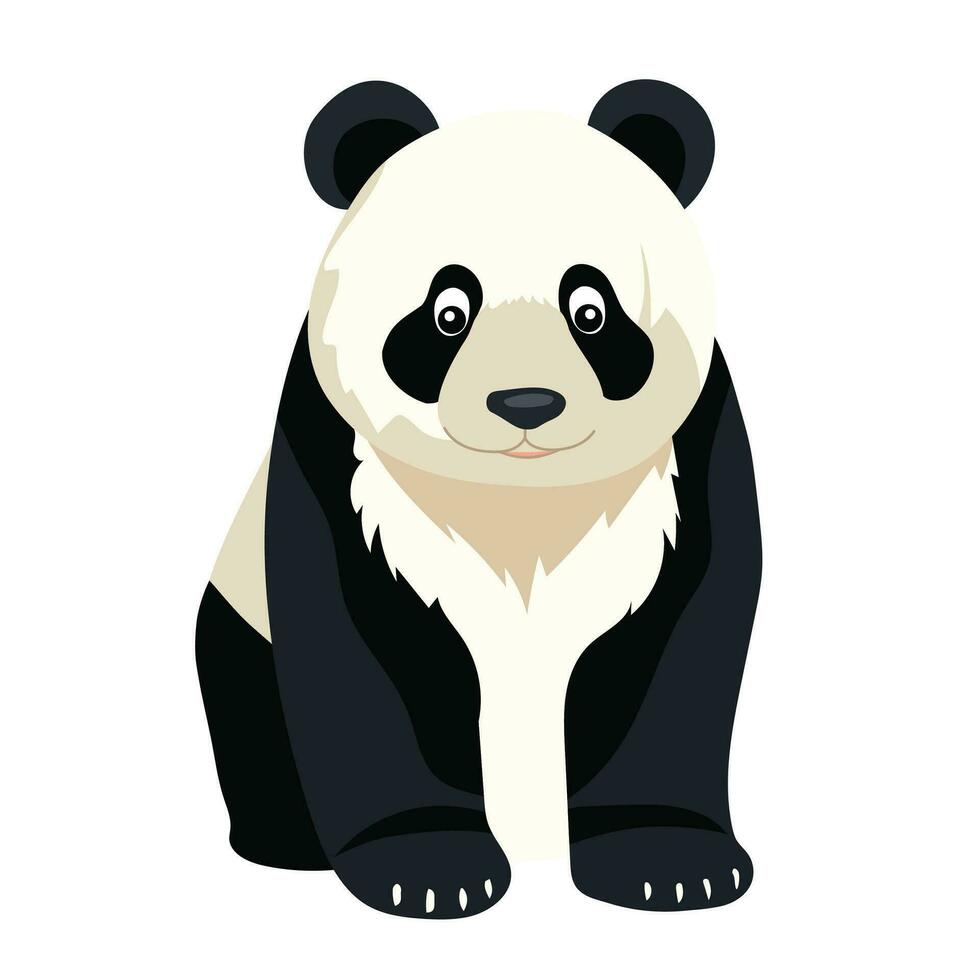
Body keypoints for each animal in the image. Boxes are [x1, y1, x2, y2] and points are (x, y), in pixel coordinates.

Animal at [196, 79, 762, 919]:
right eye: (447, 313)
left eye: (590, 310)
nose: (526, 403)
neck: (518, 498)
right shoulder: (336, 459)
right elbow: (359, 646)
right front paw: (428, 869)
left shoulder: (689, 455)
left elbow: (683, 634)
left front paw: (671, 862)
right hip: (241, 625)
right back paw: (289, 844)